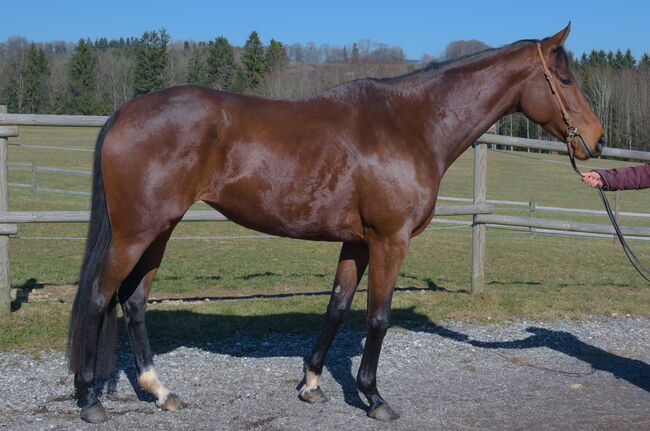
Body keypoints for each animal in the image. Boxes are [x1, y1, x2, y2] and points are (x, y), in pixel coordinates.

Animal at [67, 24, 605, 423]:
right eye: (568, 81)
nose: (596, 141)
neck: (409, 124)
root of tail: (125, 111)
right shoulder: (390, 241)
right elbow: (377, 317)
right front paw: (374, 397)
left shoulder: (358, 243)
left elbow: (337, 308)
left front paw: (311, 384)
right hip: (136, 233)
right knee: (97, 296)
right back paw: (90, 400)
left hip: (159, 230)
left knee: (134, 302)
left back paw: (161, 391)